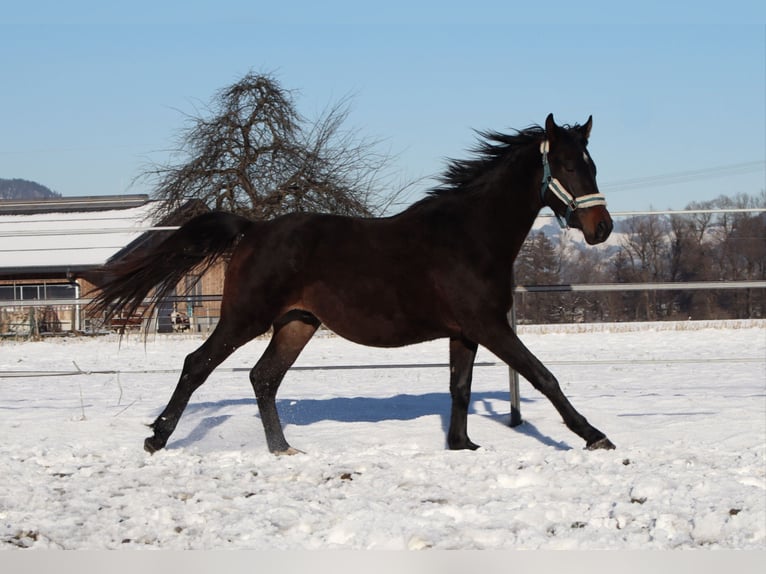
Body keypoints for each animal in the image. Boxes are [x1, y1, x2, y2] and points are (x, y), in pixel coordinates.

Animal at [90, 113, 616, 454]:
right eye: (568, 166)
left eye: (593, 164)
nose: (602, 229)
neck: (470, 235)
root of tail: (253, 229)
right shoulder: (489, 326)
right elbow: (543, 376)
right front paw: (594, 436)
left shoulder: (466, 332)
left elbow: (460, 387)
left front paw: (462, 445)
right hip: (245, 317)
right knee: (197, 364)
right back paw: (157, 438)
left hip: (297, 323)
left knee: (264, 377)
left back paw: (284, 449)